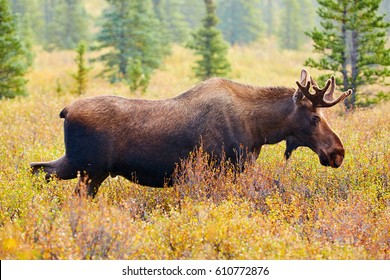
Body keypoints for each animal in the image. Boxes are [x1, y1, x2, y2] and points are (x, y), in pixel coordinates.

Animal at [30, 69, 352, 197]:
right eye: (315, 117)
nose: (337, 152)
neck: (260, 130)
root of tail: (65, 110)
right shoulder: (213, 169)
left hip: (80, 166)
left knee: (36, 168)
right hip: (88, 168)